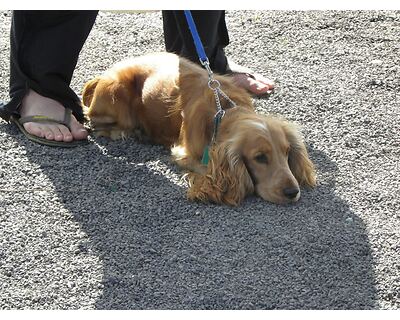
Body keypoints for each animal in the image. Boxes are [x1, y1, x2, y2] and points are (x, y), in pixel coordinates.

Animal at [83, 52, 316, 205]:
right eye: (260, 157)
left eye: (287, 152)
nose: (292, 192)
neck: (223, 112)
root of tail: (102, 75)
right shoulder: (183, 154)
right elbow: (209, 170)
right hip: (115, 94)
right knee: (94, 121)